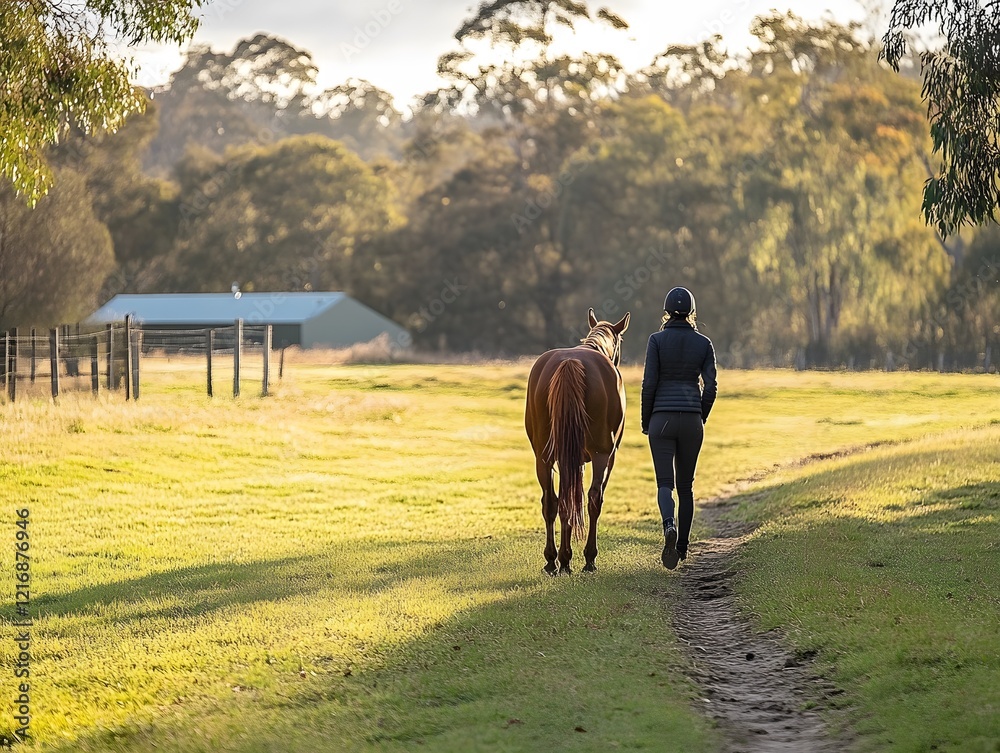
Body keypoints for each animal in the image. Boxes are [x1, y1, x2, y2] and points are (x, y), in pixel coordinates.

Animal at [525, 308, 630, 574]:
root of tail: (569, 362)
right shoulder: (608, 457)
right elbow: (589, 499)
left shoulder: (571, 458)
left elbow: (567, 500)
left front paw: (564, 558)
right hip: (601, 455)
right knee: (593, 499)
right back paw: (587, 559)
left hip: (544, 457)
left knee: (552, 502)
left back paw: (553, 560)